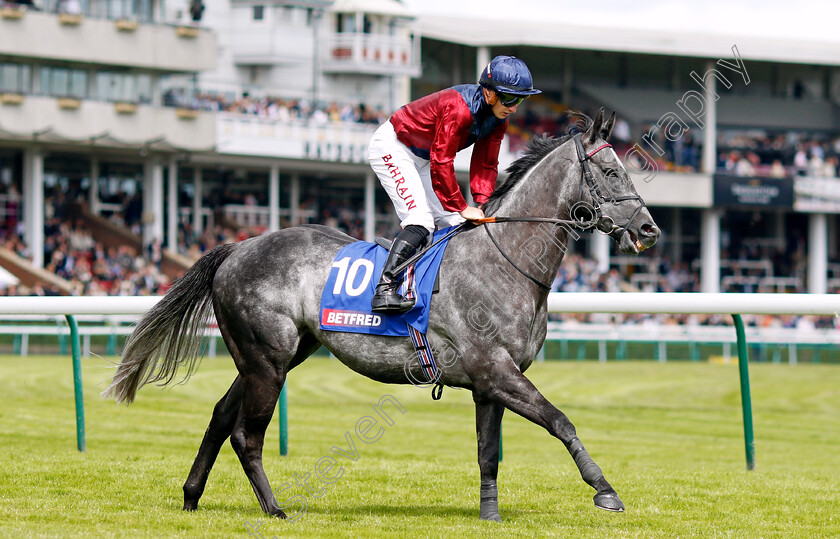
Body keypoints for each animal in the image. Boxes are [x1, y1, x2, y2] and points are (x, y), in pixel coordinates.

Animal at [103, 107, 656, 520]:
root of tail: (239, 246)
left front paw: (490, 514)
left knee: (221, 415)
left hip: (273, 355)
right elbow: (561, 421)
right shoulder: (495, 370)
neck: (505, 259)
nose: (649, 230)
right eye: (612, 171)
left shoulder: (491, 381)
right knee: (246, 434)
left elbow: (488, 453)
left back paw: (192, 495)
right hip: (268, 358)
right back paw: (274, 507)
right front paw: (605, 490)